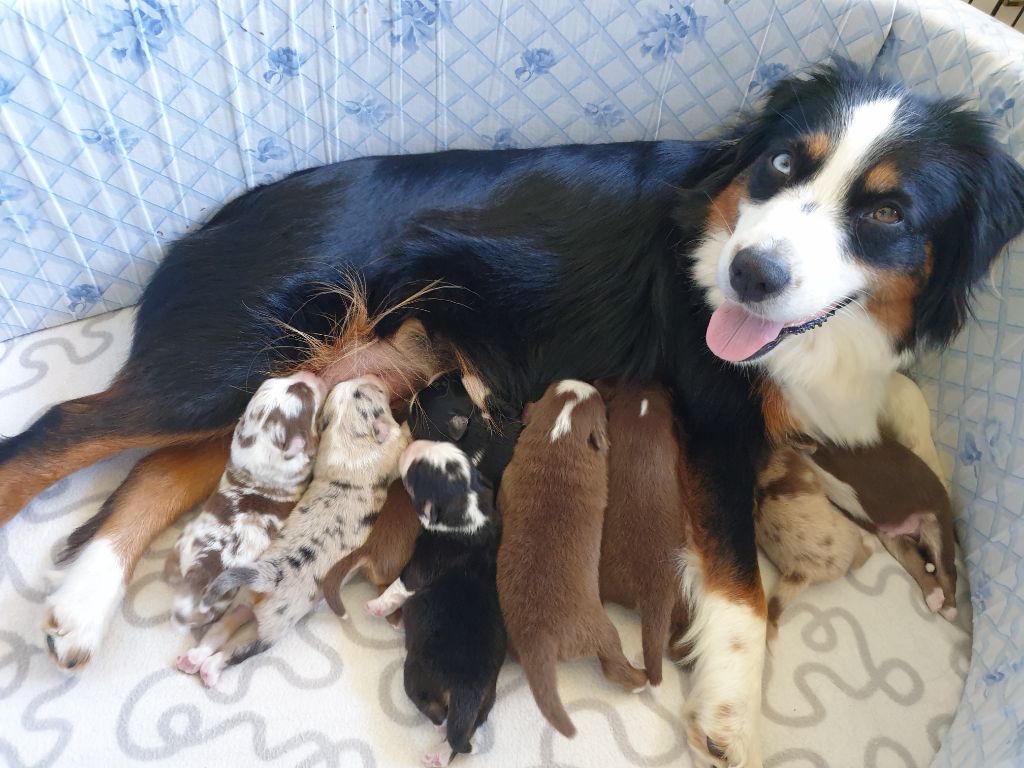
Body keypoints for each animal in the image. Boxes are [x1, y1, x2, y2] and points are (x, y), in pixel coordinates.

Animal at [493, 380, 638, 741]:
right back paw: (640, 680)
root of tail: (538, 637)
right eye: (601, 406)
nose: (588, 383)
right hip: (602, 630)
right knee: (614, 665)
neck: (559, 435)